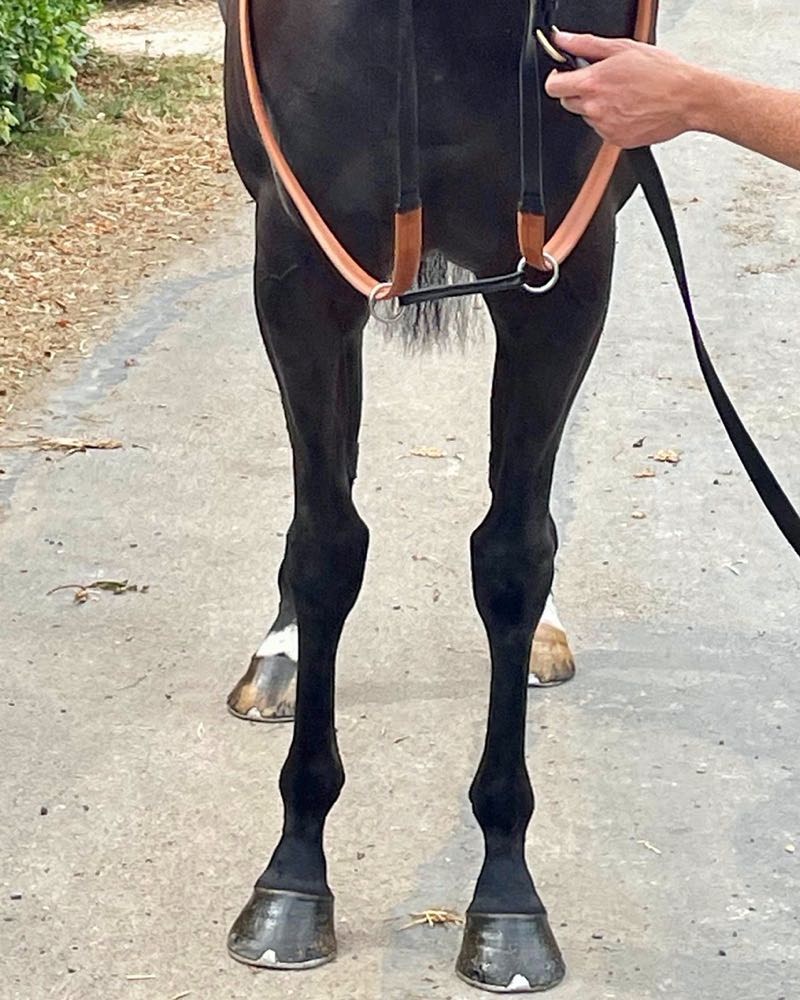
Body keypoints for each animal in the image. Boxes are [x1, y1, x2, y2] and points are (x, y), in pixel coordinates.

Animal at [219, 0, 651, 991]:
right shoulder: (301, 267)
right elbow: (327, 544)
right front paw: (293, 875)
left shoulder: (562, 277)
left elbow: (514, 553)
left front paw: (507, 898)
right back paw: (280, 654)